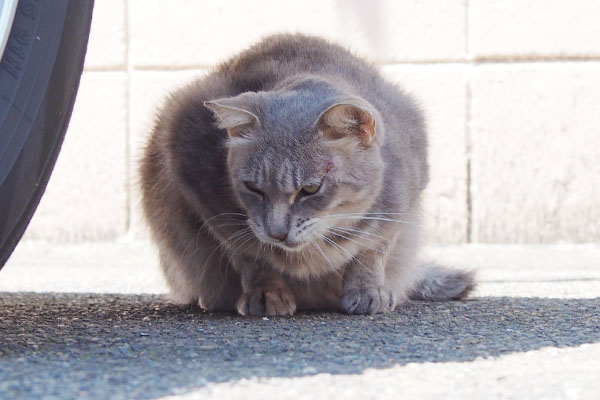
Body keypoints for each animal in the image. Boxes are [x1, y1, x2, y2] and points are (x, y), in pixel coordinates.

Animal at [141, 33, 474, 316]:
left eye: (311, 189)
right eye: (253, 188)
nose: (277, 232)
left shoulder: (403, 199)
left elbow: (372, 248)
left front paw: (368, 290)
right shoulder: (202, 192)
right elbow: (250, 255)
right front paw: (266, 293)